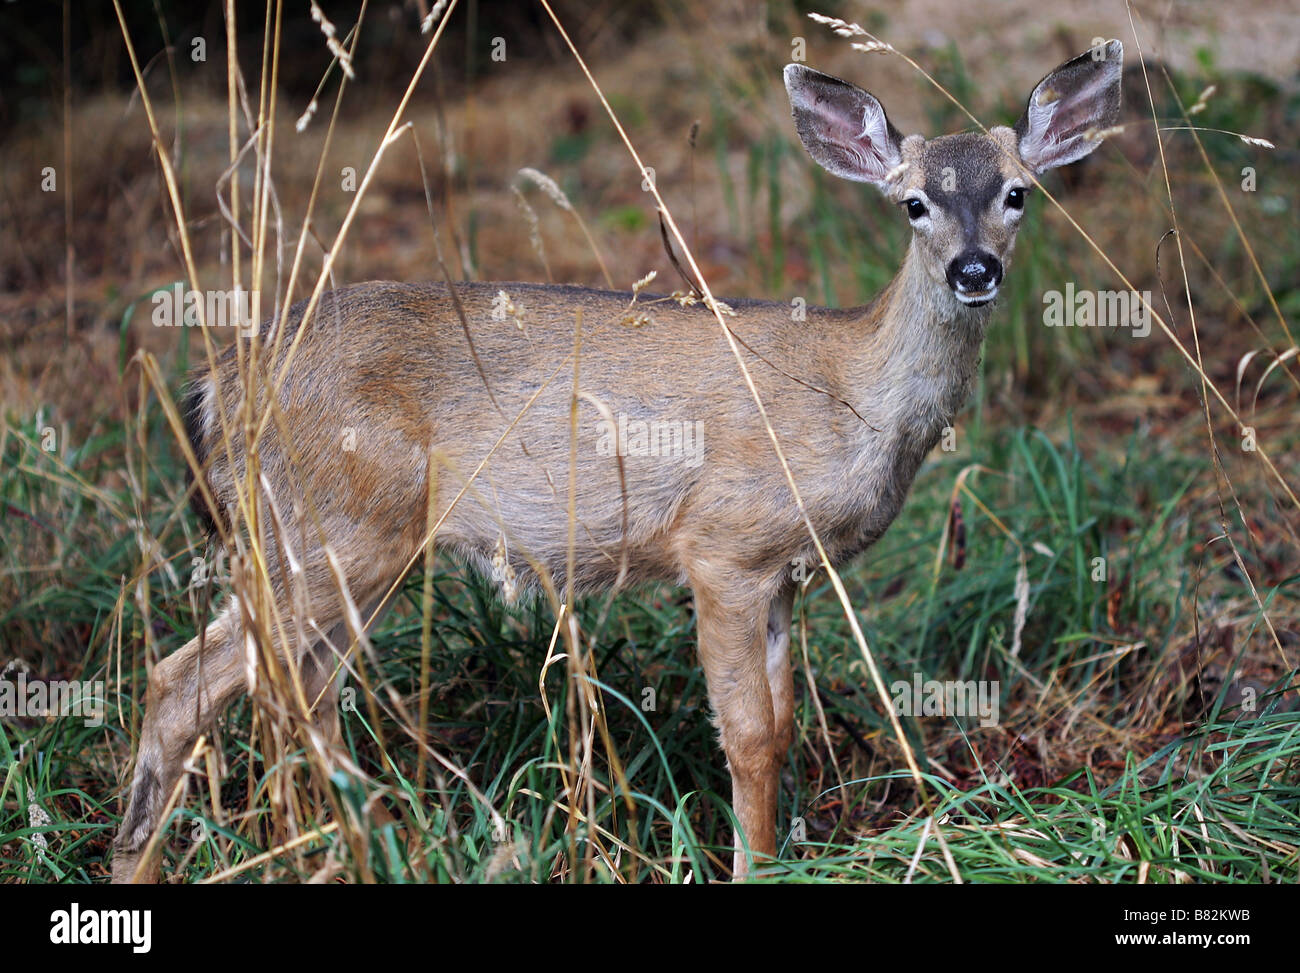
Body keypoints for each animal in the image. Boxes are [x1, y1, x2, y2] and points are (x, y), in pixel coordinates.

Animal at [116, 43, 1123, 879]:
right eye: (913, 202)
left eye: (1018, 192)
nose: (974, 270)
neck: (851, 391)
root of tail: (217, 386)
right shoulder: (722, 544)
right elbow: (747, 734)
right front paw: (749, 866)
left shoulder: (788, 571)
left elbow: (784, 725)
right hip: (336, 525)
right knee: (185, 682)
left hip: (330, 542)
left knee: (297, 689)